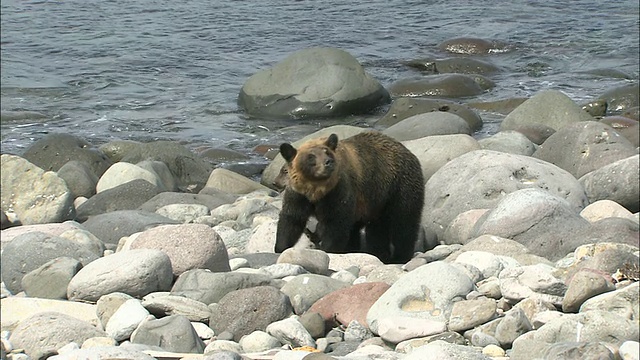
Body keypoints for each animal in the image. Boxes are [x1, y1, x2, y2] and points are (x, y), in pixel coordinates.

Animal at [276, 131, 424, 262]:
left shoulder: (338, 192)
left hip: (399, 187)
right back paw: (377, 253)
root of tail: (408, 151)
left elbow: (336, 223)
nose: (328, 162)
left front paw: (328, 248)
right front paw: (281, 247)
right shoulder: (299, 194)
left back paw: (400, 256)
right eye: (311, 156)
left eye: (326, 152)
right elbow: (292, 219)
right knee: (376, 229)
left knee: (404, 223)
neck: (316, 190)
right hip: (377, 201)